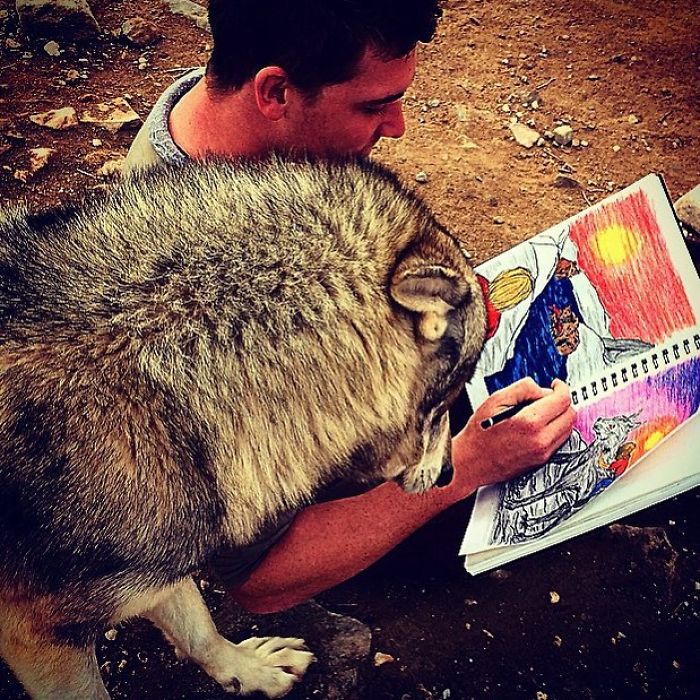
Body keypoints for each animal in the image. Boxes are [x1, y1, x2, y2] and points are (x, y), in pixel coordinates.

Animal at [0, 156, 486, 698]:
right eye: (451, 395)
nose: (452, 476)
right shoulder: (39, 637)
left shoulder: (158, 571)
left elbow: (198, 626)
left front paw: (249, 671)